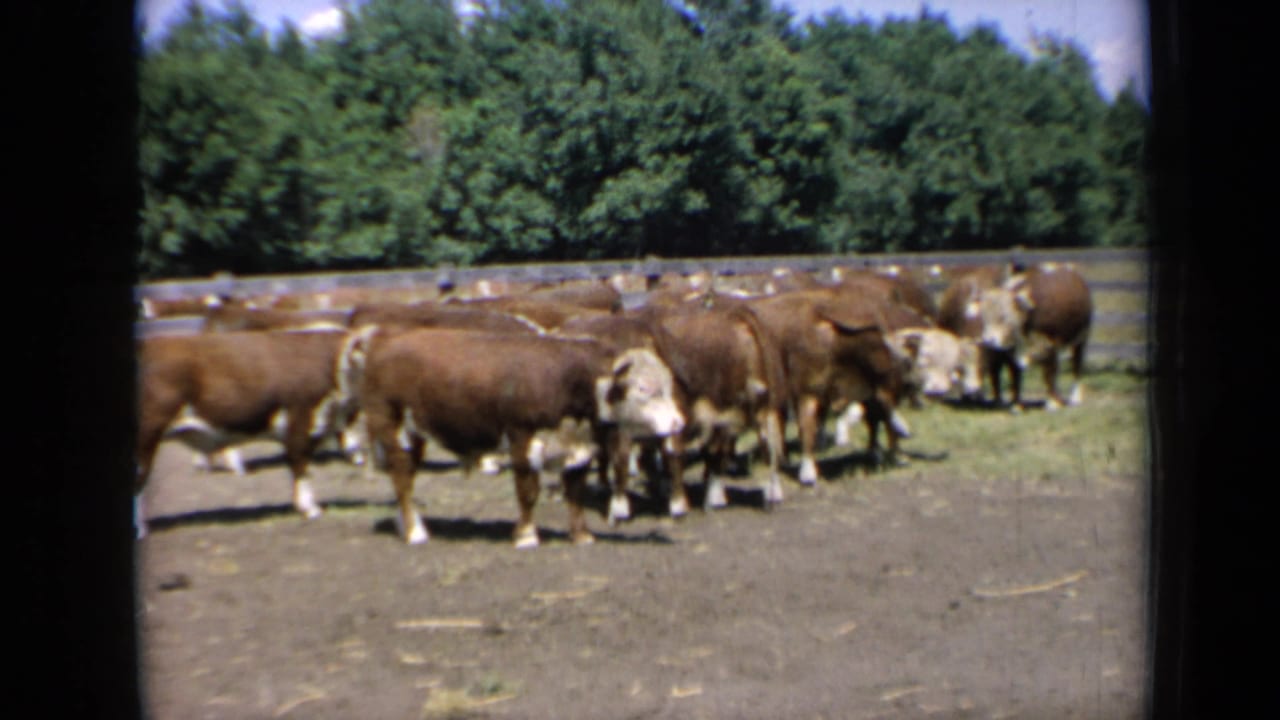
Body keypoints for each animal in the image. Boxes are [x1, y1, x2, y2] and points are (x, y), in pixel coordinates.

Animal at [347, 327, 685, 548]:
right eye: (644, 388)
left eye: (667, 384)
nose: (678, 423)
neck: (566, 380)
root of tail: (383, 339)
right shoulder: (523, 439)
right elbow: (528, 492)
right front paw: (526, 535)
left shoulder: (578, 448)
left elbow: (575, 493)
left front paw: (581, 535)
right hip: (389, 425)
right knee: (402, 478)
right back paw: (414, 532)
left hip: (415, 431)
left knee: (404, 474)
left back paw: (406, 523)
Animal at [975, 262, 1093, 411]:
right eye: (984, 317)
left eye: (1004, 317)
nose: (989, 341)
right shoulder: (1013, 351)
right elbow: (1015, 375)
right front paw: (1016, 404)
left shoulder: (1050, 344)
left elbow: (1049, 373)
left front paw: (1052, 403)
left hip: (1081, 338)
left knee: (1076, 366)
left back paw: (1075, 397)